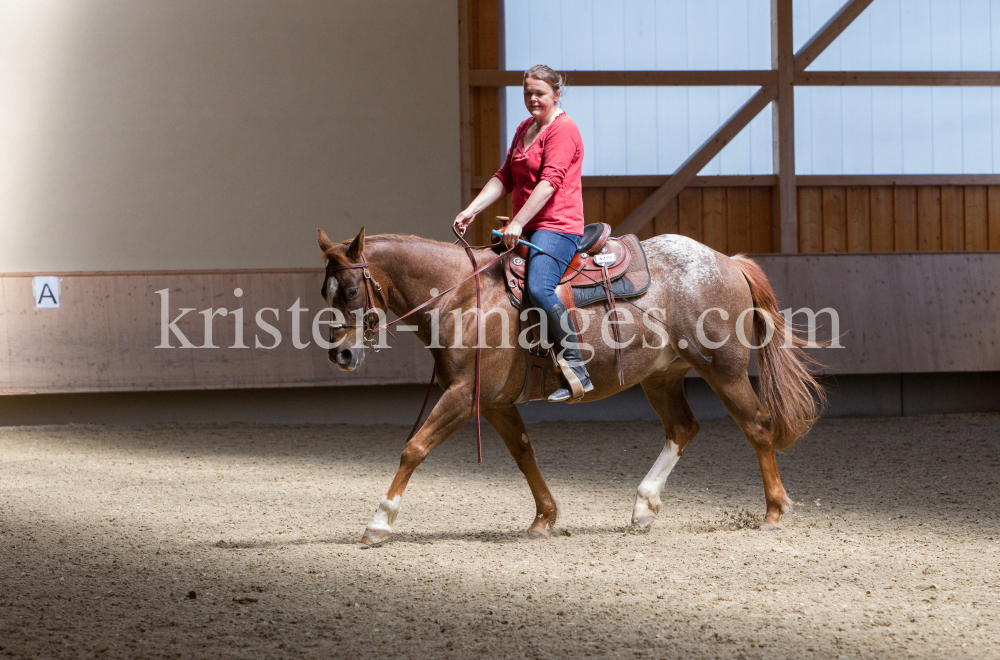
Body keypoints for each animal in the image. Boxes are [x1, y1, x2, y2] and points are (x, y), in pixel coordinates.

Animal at [316, 227, 824, 548]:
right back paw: (643, 507)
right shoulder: (495, 403)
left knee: (757, 425)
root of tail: (726, 261)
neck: (461, 295)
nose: (340, 355)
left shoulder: (464, 395)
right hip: (660, 377)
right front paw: (544, 518)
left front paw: (379, 523)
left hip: (725, 371)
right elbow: (524, 453)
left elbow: (414, 448)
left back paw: (774, 511)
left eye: (351, 291)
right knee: (682, 428)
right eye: (326, 292)